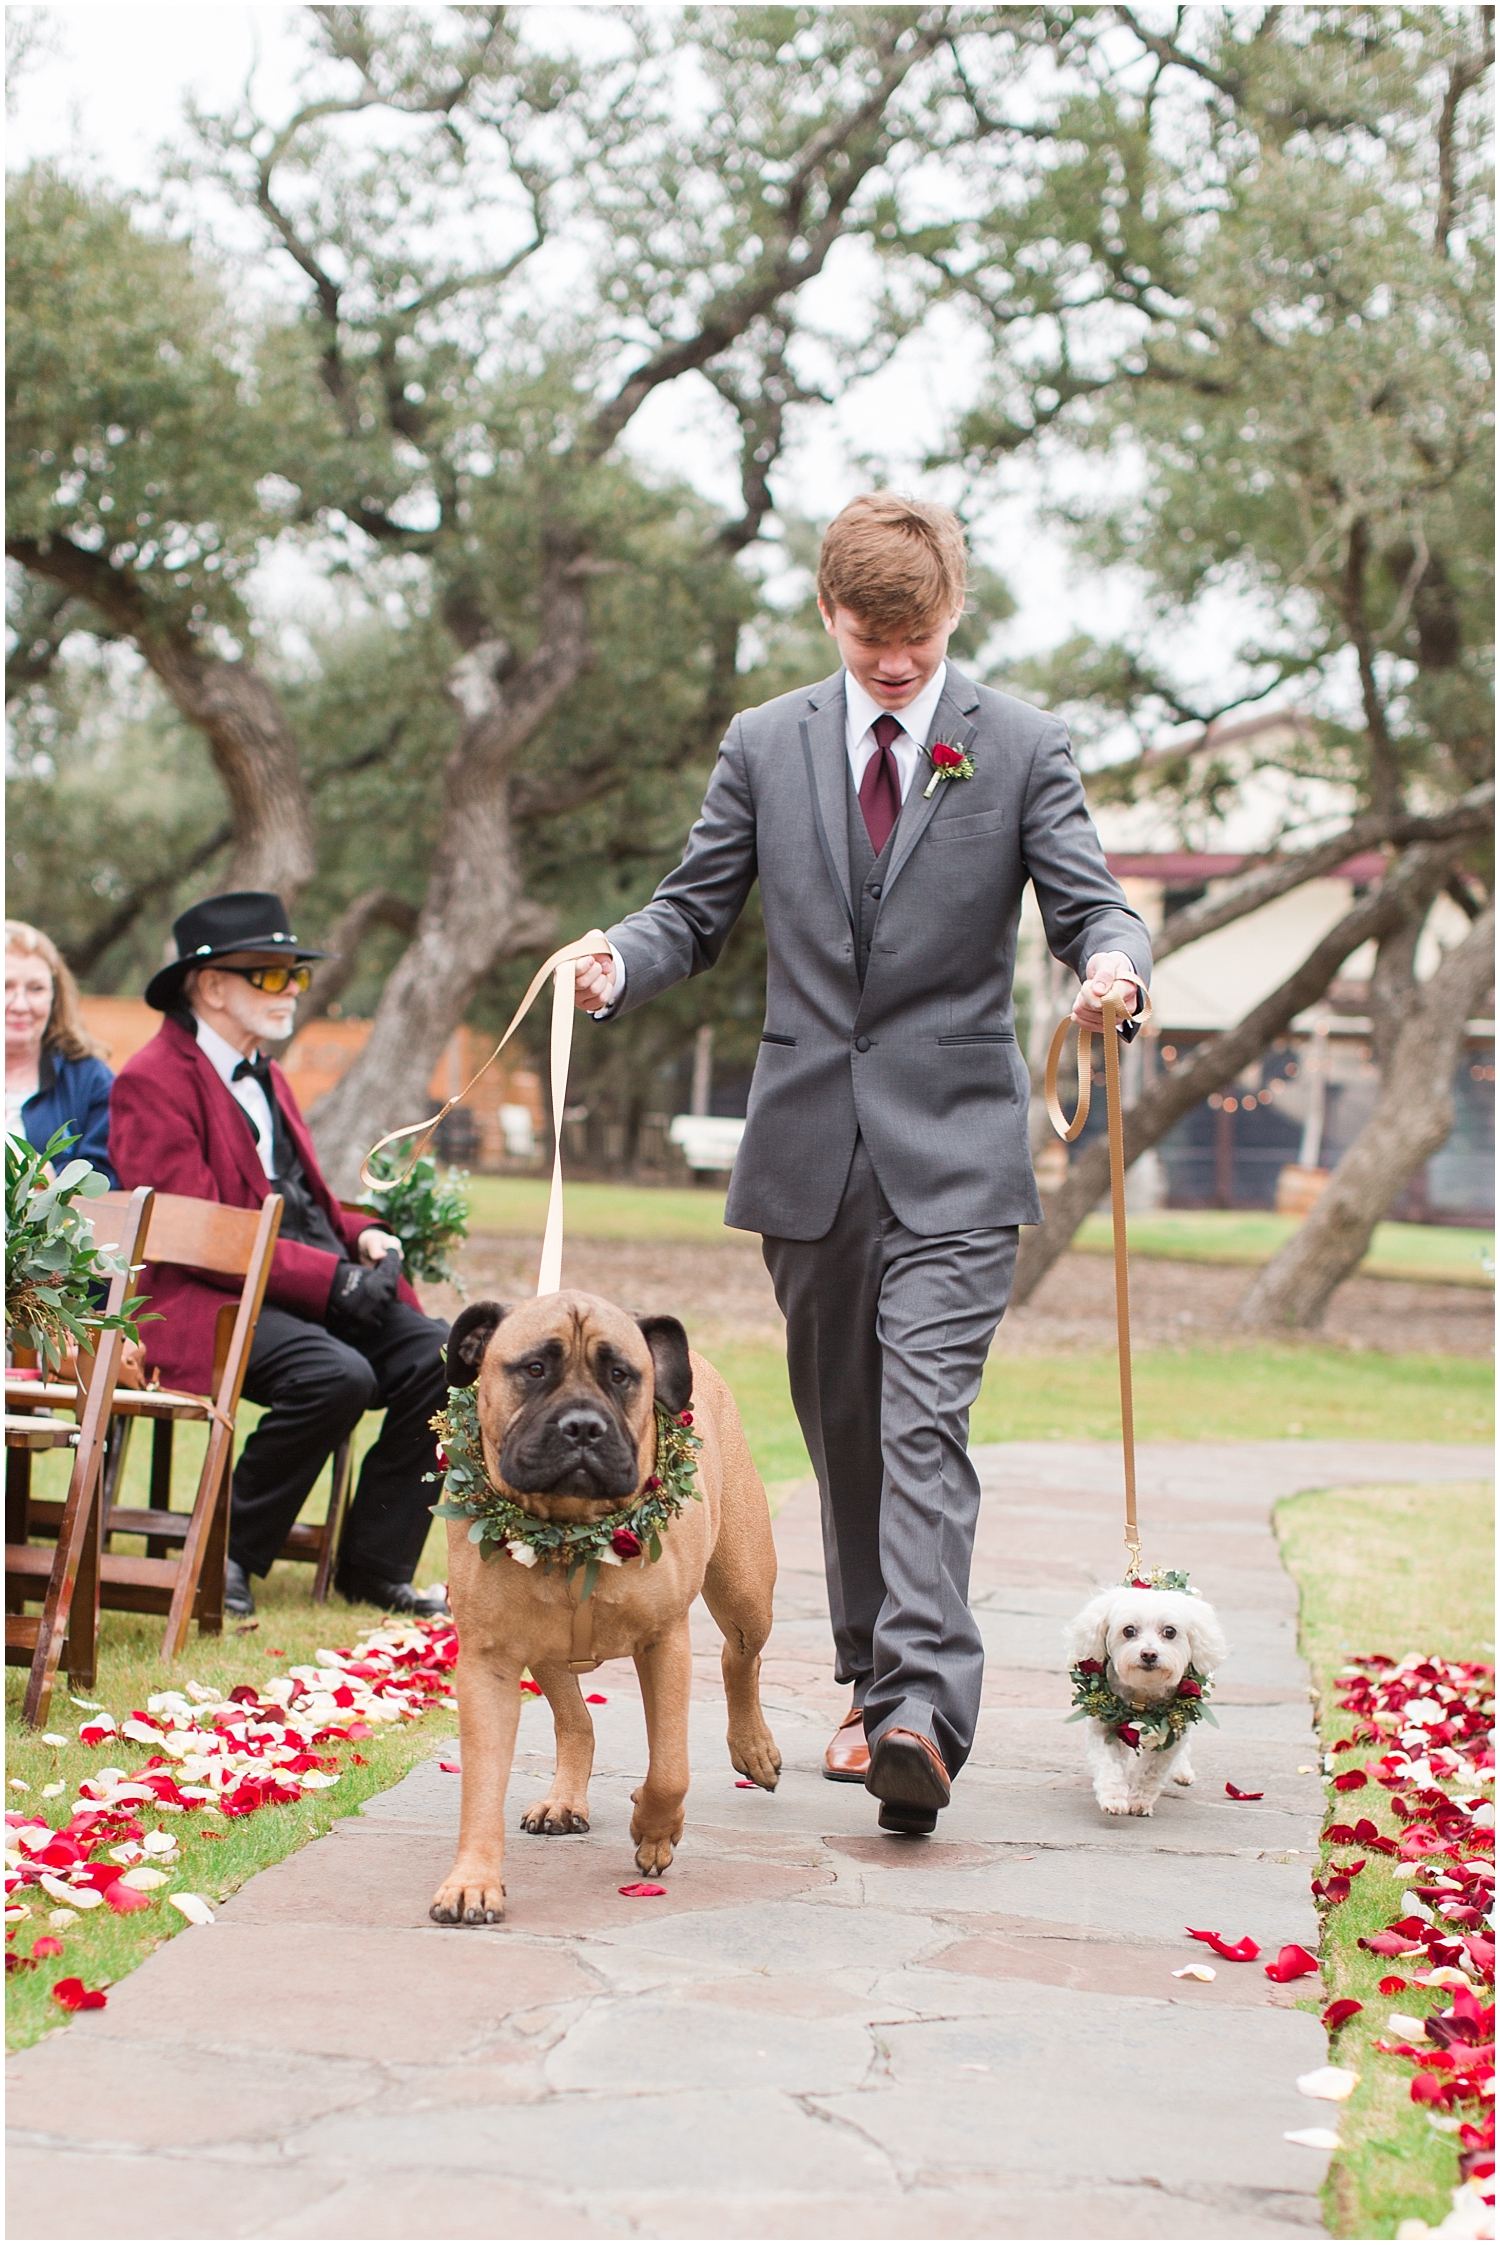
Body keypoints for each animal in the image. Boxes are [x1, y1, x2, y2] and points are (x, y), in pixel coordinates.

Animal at [426, 1293, 781, 1921]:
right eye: (533, 1369)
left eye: (620, 1375)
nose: (583, 1426)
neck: (570, 1527)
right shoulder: (489, 1661)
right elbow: (482, 1783)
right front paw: (472, 1881)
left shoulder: (664, 1642)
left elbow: (670, 1768)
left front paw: (655, 1832)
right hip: (546, 1648)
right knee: (576, 1721)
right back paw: (564, 1799)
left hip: (745, 1587)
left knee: (741, 1657)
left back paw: (753, 1748)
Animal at [1059, 1589, 1221, 1813]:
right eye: (1129, 1630)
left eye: (1170, 1632)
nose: (1149, 1654)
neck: (1143, 1690)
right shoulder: (1102, 1724)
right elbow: (1108, 1763)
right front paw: (1113, 1797)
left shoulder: (1172, 1730)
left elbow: (1152, 1770)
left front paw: (1140, 1800)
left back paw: (1182, 1771)